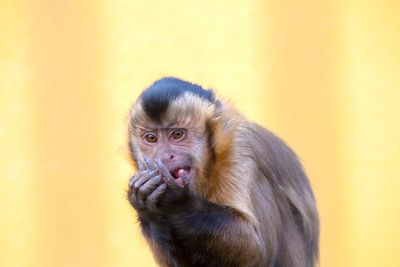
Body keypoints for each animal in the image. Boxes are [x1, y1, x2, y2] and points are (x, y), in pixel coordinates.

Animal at [126, 77, 320, 267]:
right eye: (151, 138)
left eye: (177, 135)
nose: (165, 155)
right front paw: (151, 210)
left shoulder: (238, 148)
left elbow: (256, 251)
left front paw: (175, 201)